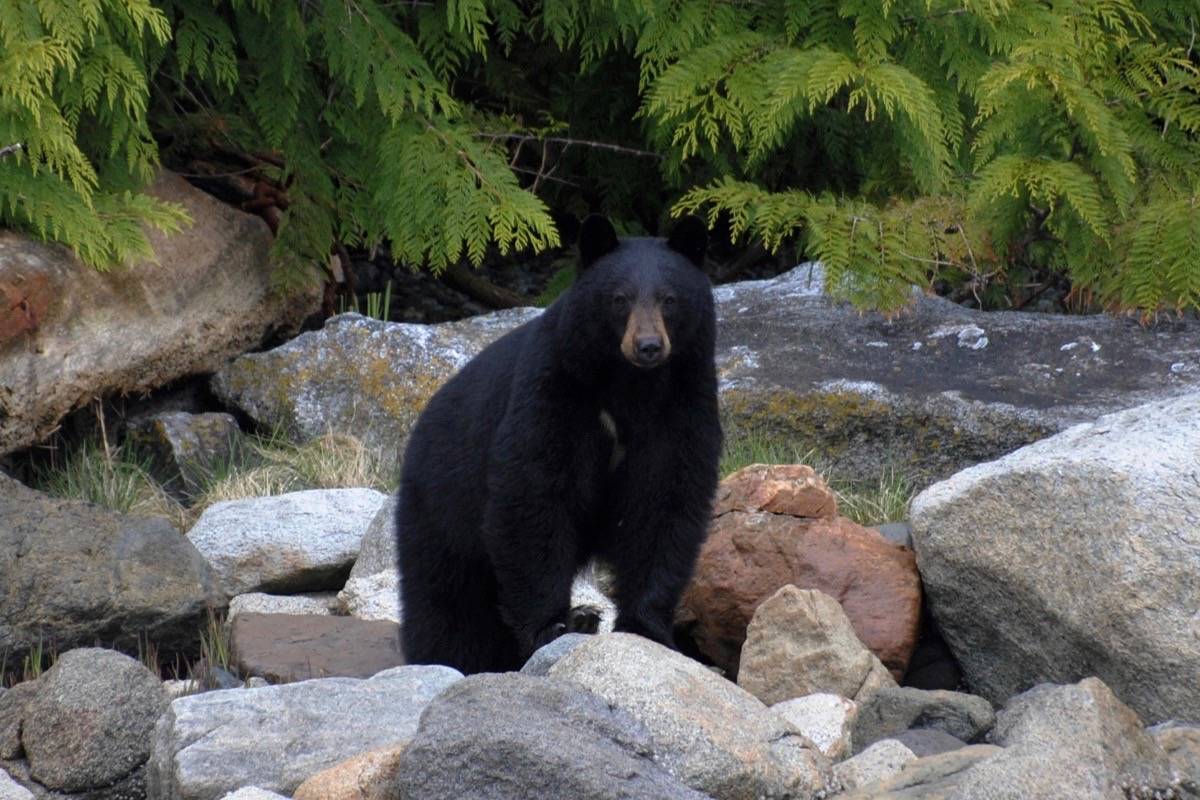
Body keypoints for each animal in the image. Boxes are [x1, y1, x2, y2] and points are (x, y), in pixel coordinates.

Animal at [396, 214, 720, 676]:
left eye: (670, 300)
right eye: (619, 299)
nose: (648, 346)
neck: (631, 386)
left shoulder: (683, 405)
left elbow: (665, 502)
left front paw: (646, 627)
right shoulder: (555, 389)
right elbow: (534, 493)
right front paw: (551, 626)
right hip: (442, 508)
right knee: (447, 603)